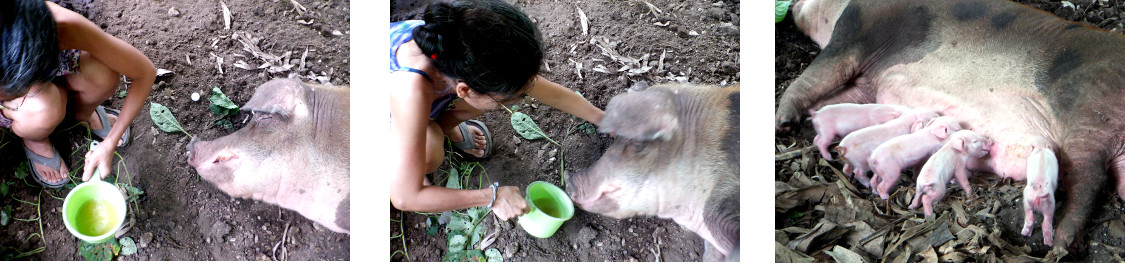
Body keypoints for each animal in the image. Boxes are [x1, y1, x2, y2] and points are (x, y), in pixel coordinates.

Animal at [774, 0, 1125, 251]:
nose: (791, 5)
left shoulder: (857, 32)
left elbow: (816, 74)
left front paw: (783, 123)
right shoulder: (867, 86)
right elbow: (839, 96)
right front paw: (805, 119)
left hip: (1090, 112)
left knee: (1088, 178)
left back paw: (1062, 242)